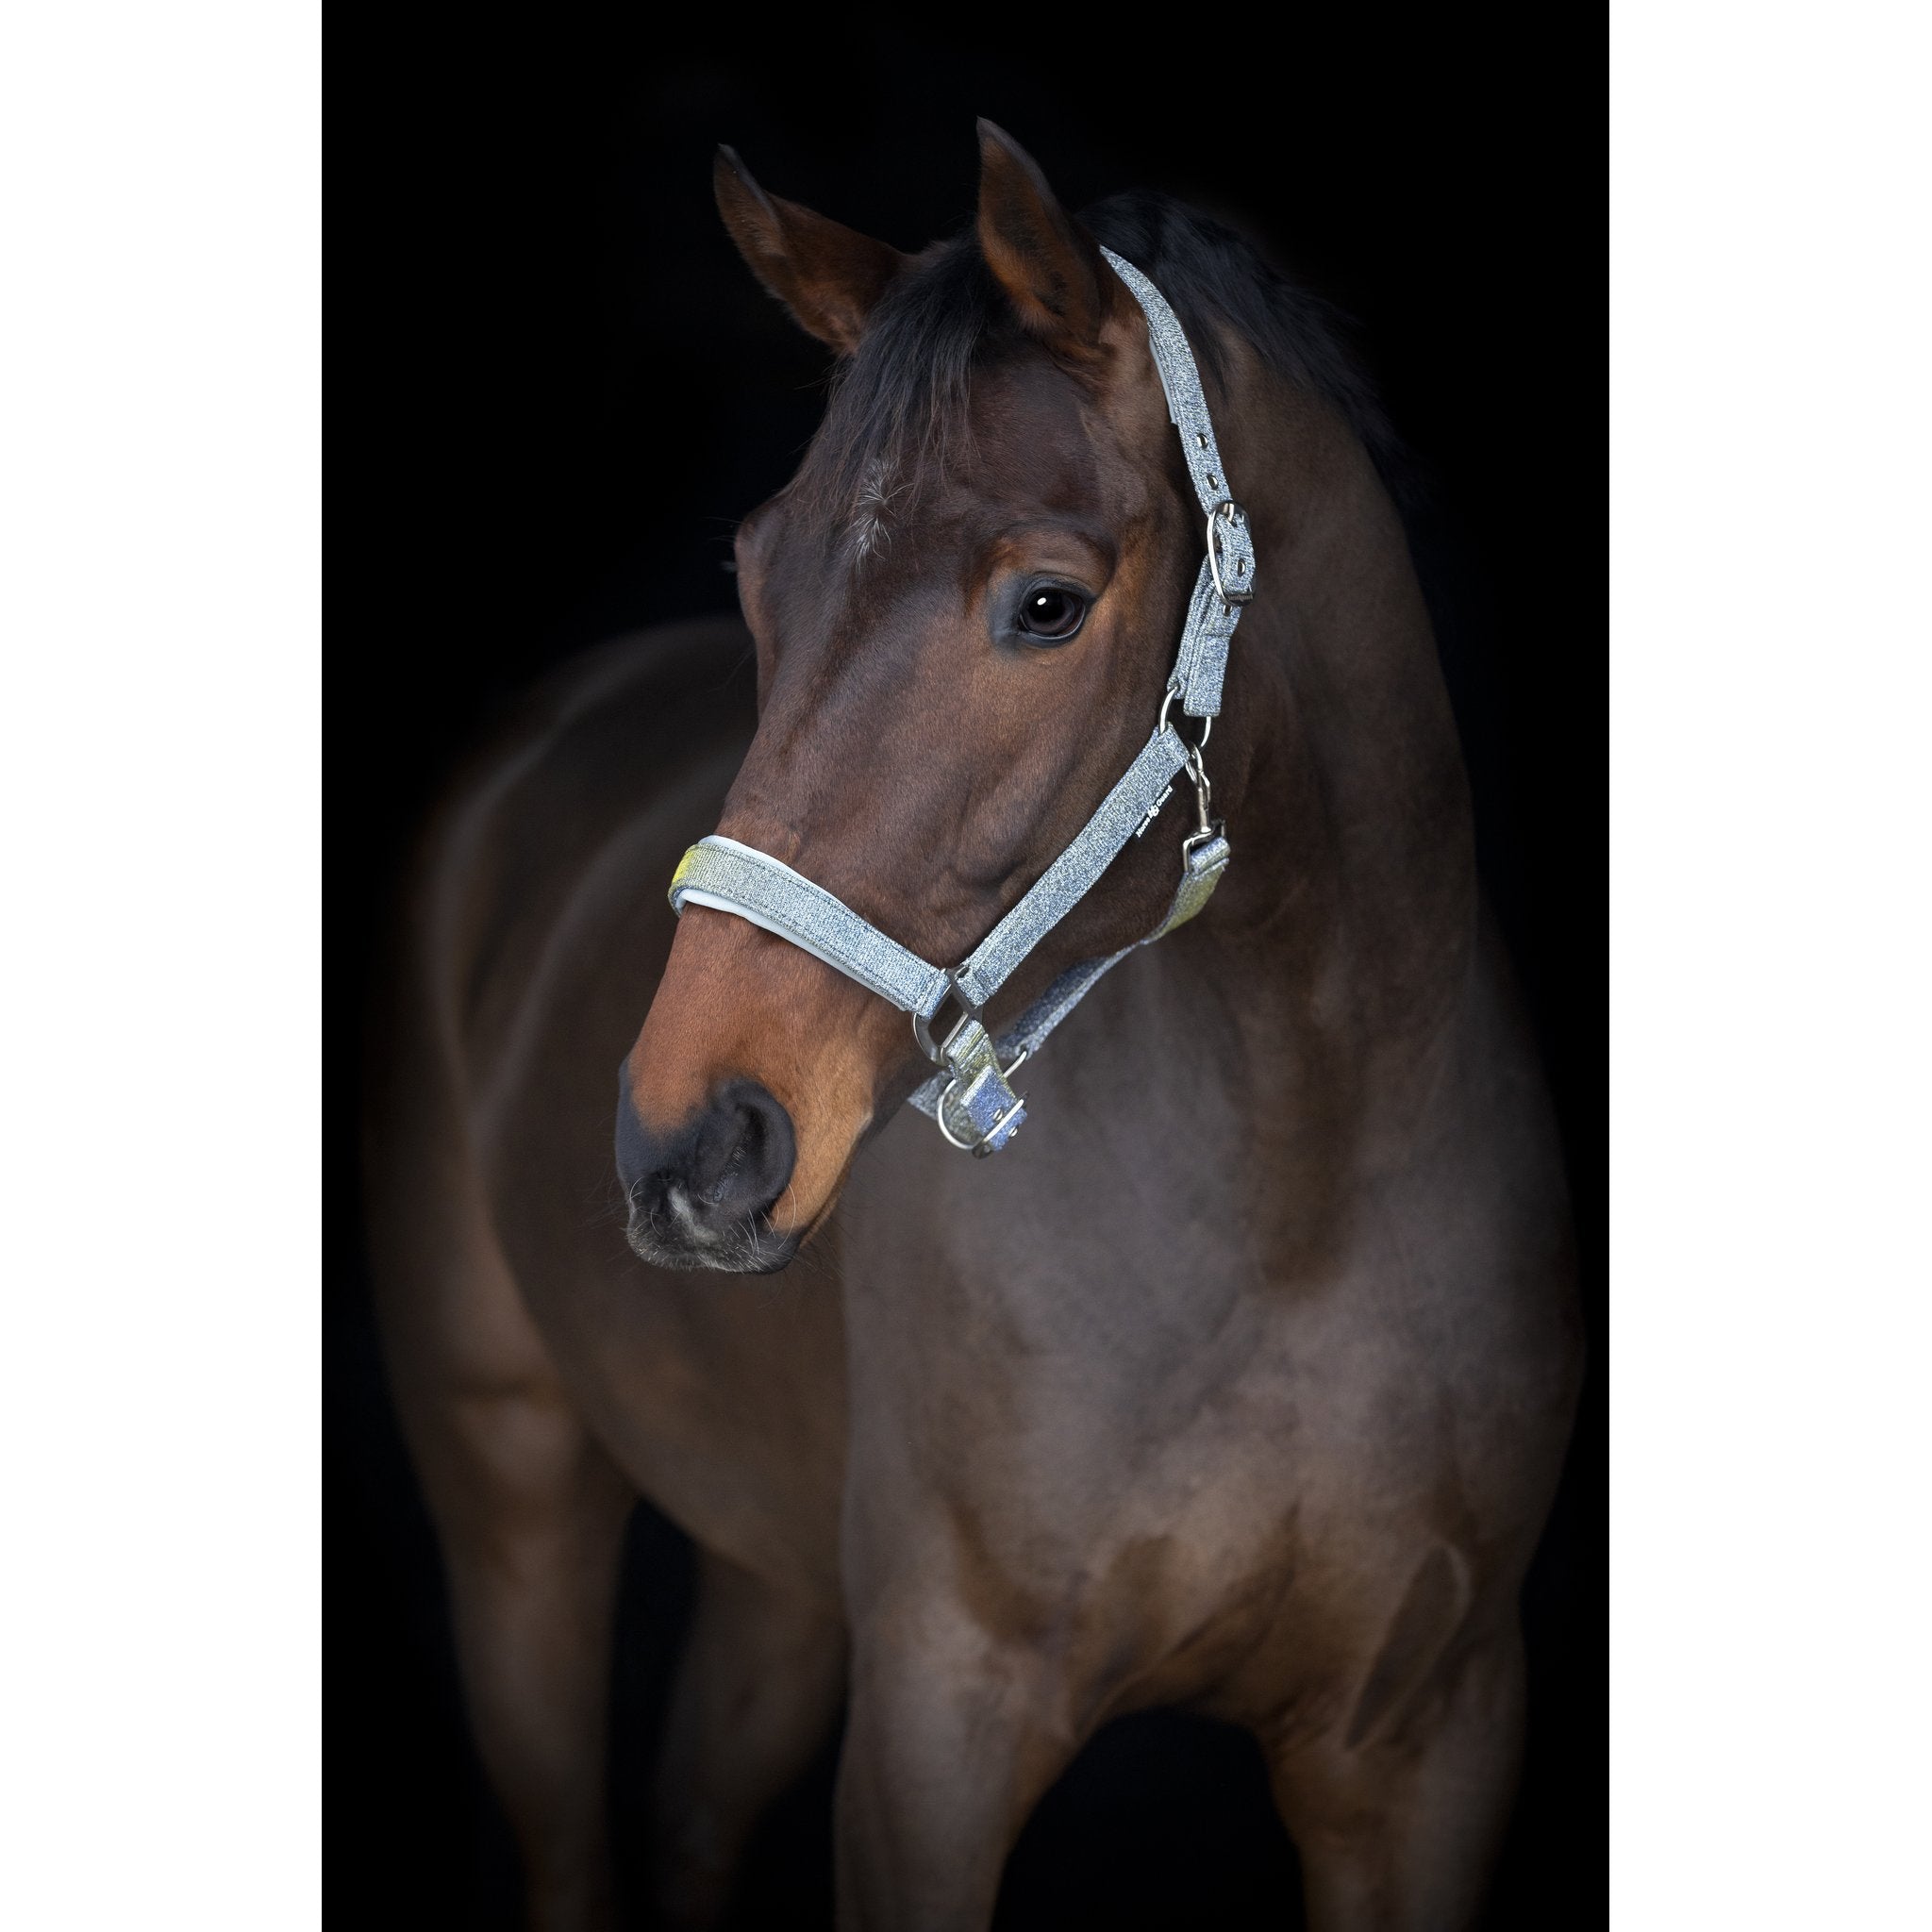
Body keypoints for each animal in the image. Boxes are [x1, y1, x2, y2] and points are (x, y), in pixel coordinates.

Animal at [364, 121, 1583, 1932]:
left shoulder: (1427, 1743)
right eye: (755, 570)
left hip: (772, 1577)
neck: (1304, 1190)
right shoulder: (938, 1728)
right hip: (513, 1500)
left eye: (1046, 604)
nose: (690, 1144)